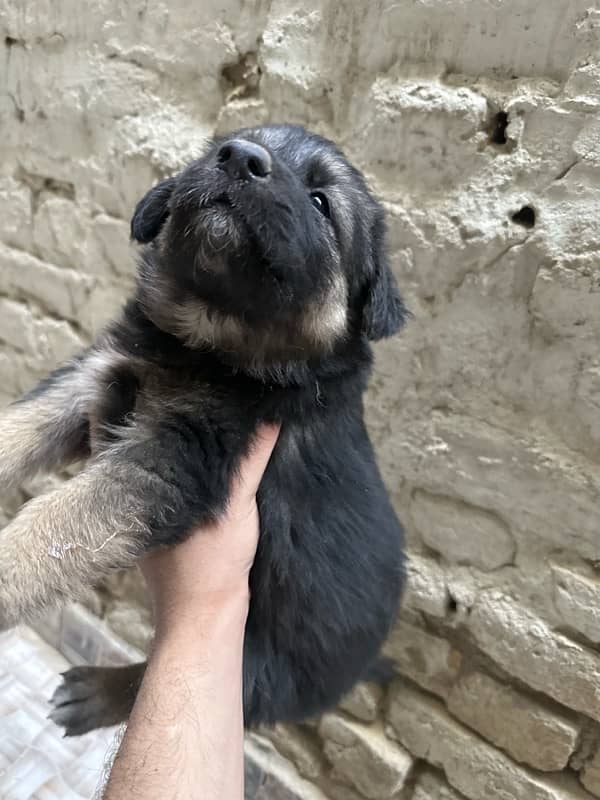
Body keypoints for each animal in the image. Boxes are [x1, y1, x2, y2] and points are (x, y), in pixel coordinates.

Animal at [0, 123, 408, 732]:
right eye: (229, 145)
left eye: (321, 202)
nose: (240, 159)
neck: (207, 348)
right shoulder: (97, 376)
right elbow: (21, 424)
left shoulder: (171, 456)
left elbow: (54, 523)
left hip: (251, 669)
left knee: (153, 685)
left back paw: (92, 693)